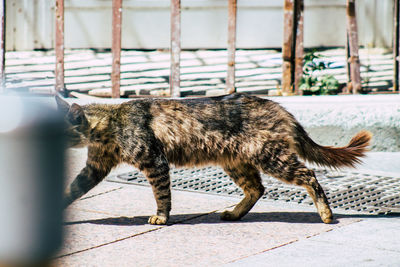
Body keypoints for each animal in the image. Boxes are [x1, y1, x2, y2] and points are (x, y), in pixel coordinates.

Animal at [54, 94, 370, 226]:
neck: (110, 123)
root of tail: (280, 107)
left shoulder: (155, 162)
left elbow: (162, 194)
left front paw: (162, 217)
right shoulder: (94, 167)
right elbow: (71, 189)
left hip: (271, 157)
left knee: (309, 176)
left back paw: (326, 214)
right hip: (237, 162)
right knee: (257, 188)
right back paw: (234, 214)